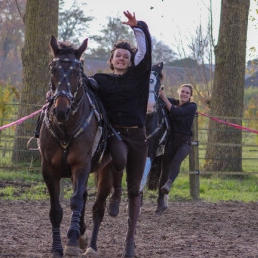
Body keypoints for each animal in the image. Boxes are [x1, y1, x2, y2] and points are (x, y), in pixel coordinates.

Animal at [39, 35, 104, 256]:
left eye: (77, 72)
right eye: (53, 69)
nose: (61, 110)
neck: (65, 129)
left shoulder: (81, 165)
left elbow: (76, 201)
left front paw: (72, 243)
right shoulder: (48, 169)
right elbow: (55, 210)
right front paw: (57, 247)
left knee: (87, 200)